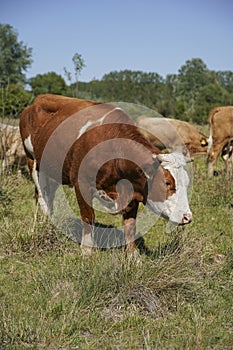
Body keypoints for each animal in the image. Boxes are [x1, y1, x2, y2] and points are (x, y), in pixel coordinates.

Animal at [19, 94, 192, 256]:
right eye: (167, 182)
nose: (187, 217)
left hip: (53, 169)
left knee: (50, 195)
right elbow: (88, 216)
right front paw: (87, 251)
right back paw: (42, 225)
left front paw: (133, 257)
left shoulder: (132, 190)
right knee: (41, 196)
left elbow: (130, 225)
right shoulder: (81, 184)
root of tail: (37, 100)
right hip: (32, 160)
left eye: (187, 183)